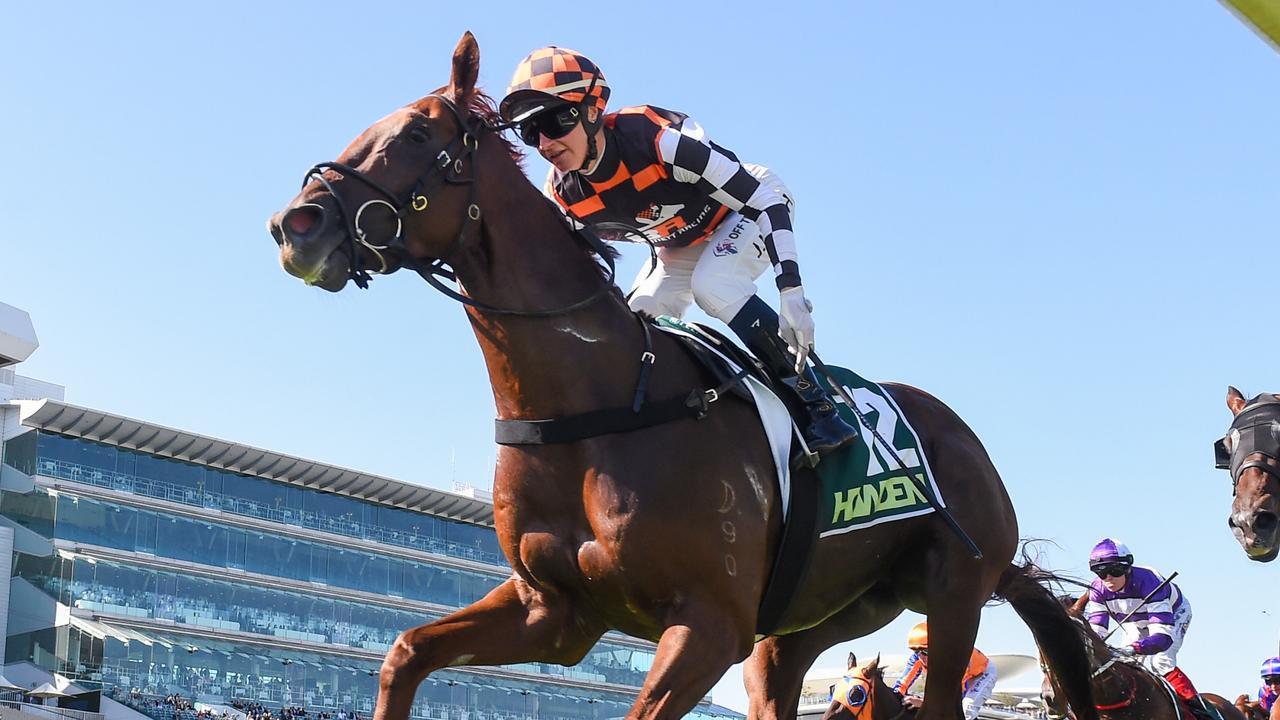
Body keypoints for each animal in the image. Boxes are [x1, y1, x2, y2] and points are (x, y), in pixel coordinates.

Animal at [264, 32, 1095, 717]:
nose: (295, 226)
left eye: (414, 133)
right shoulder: (553, 614)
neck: (597, 403)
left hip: (954, 595)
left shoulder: (708, 624)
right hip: (810, 623)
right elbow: (404, 653)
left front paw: (796, 316)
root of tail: (964, 436)